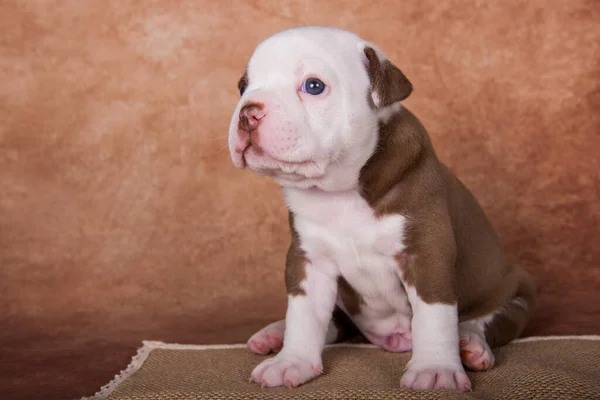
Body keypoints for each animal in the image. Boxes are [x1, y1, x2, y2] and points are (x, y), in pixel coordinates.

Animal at [226, 26, 536, 392]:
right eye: (243, 86)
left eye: (313, 86)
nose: (248, 112)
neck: (339, 191)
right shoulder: (308, 260)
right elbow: (304, 314)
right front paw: (292, 362)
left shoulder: (426, 253)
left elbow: (435, 316)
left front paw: (435, 369)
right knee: (335, 322)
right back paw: (275, 334)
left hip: (516, 291)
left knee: (487, 320)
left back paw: (471, 344)